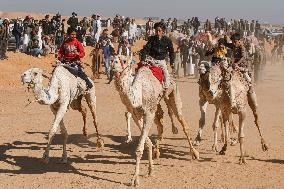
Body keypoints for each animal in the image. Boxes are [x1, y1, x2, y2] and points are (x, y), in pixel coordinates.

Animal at [111, 54, 200, 186]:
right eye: (112, 59)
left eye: (124, 60)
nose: (113, 65)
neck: (139, 93)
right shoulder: (137, 115)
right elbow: (147, 142)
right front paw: (150, 170)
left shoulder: (148, 113)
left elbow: (139, 149)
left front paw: (135, 180)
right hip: (156, 105)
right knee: (161, 123)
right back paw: (157, 151)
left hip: (172, 94)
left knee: (182, 122)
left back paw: (194, 153)